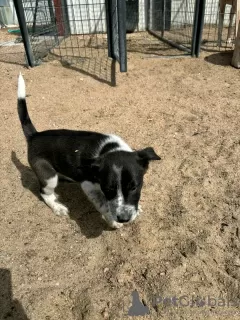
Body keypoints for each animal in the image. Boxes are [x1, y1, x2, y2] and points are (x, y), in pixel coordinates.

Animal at [17, 73, 161, 228]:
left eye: (134, 187)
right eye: (108, 189)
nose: (124, 218)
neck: (109, 149)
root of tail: (34, 136)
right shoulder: (88, 186)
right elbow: (104, 206)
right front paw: (112, 222)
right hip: (48, 176)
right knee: (44, 192)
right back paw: (58, 207)